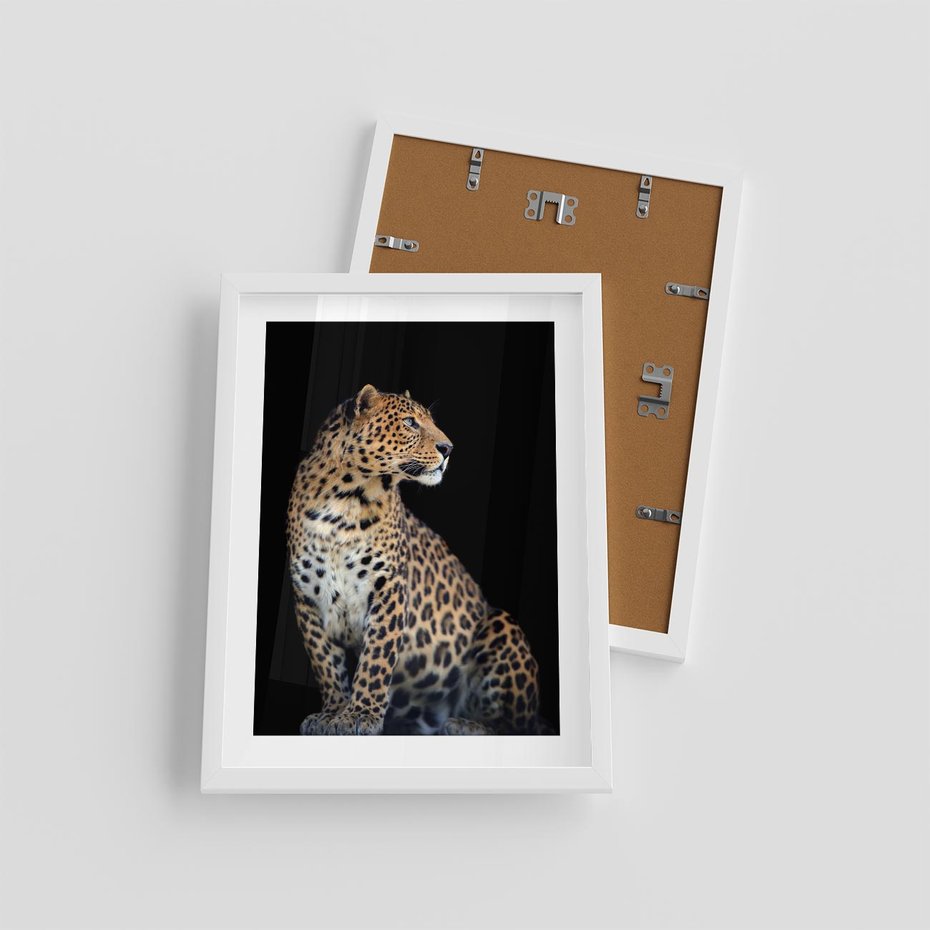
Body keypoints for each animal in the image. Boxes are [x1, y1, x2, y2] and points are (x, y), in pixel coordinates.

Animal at [286, 383, 547, 736]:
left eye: (431, 422)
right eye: (410, 422)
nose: (448, 448)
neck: (344, 501)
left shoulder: (389, 586)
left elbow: (377, 657)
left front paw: (360, 716)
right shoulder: (307, 596)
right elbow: (325, 661)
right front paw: (333, 712)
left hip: (502, 625)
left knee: (518, 725)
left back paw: (465, 725)